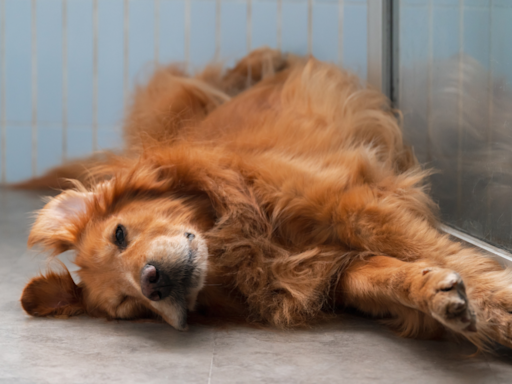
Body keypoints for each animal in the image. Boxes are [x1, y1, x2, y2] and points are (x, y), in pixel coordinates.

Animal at [18, 48, 512, 352]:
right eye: (129, 307)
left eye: (120, 234)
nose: (151, 283)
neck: (241, 241)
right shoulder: (336, 270)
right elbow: (393, 276)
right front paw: (441, 296)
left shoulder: (353, 205)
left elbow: (440, 250)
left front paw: (498, 305)